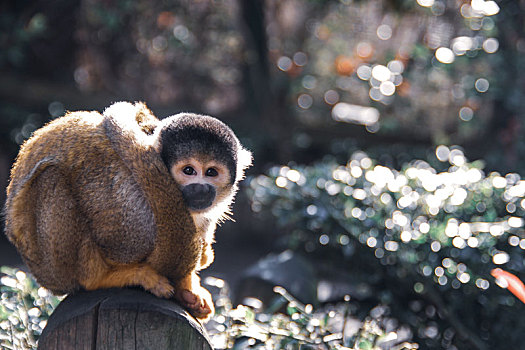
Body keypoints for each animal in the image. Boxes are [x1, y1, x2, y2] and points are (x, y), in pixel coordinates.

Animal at [2, 102, 252, 322]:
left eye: (211, 172)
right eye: (189, 170)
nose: (200, 188)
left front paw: (188, 288)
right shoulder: (134, 204)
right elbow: (117, 245)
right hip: (51, 268)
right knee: (51, 178)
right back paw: (100, 279)